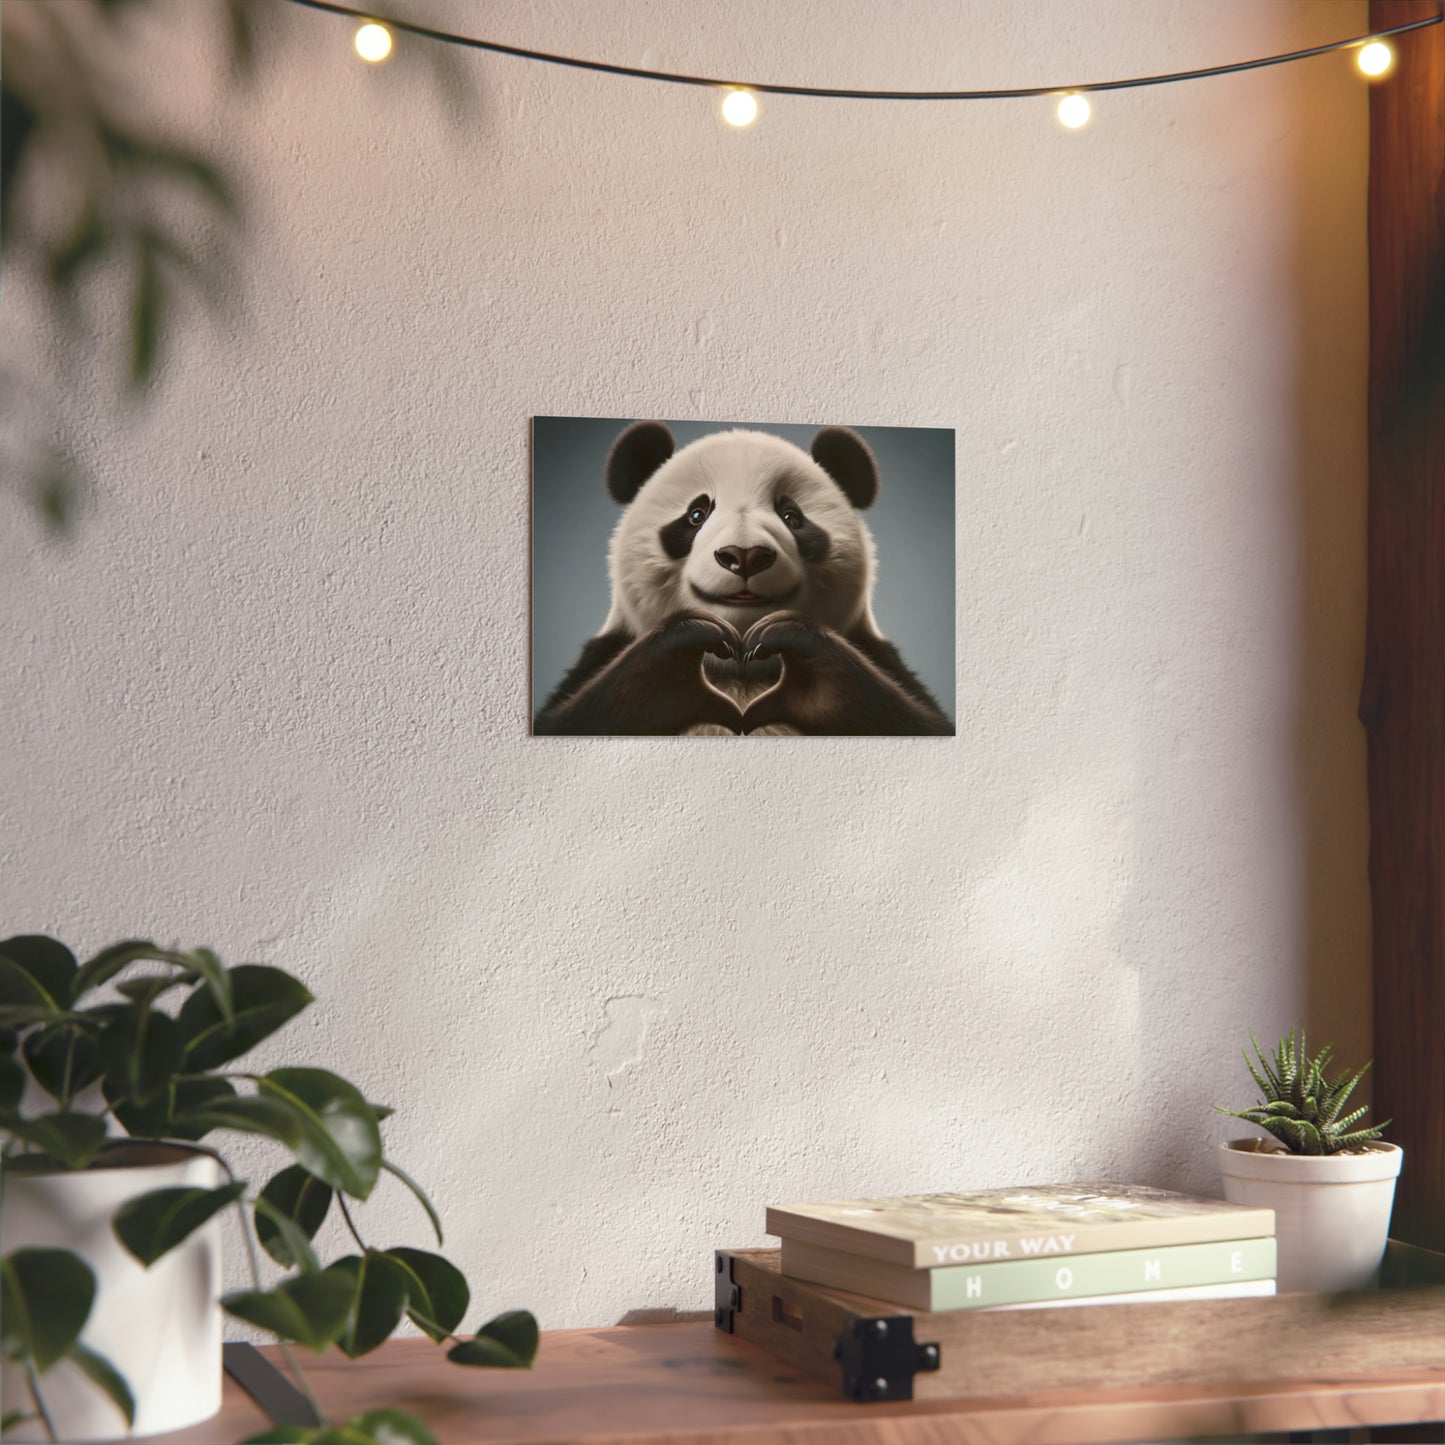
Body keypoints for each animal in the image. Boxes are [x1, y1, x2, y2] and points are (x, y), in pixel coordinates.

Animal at [533, 421, 953, 736]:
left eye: (792, 517)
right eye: (696, 514)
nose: (745, 555)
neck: (740, 669)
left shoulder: (879, 657)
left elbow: (913, 719)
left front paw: (795, 652)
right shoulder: (603, 655)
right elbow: (575, 716)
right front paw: (686, 648)